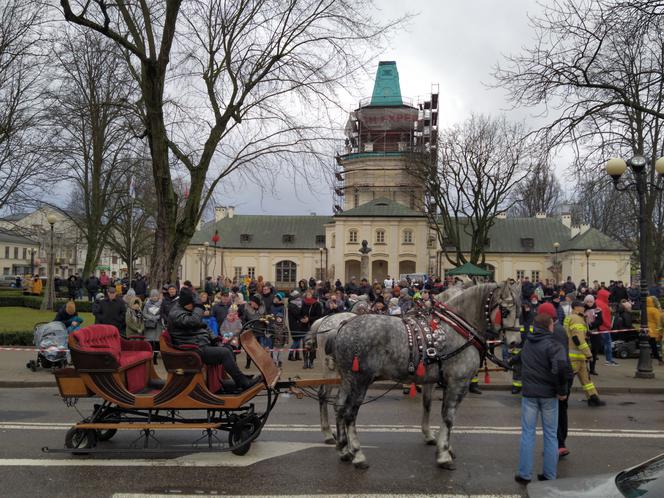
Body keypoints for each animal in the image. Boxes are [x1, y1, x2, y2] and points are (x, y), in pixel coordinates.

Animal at [332, 282, 520, 468]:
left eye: (520, 311)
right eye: (505, 311)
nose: (515, 342)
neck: (457, 329)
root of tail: (344, 326)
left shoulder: (439, 380)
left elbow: (433, 408)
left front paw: (440, 444)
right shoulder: (458, 382)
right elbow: (449, 417)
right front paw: (444, 454)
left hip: (347, 379)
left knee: (340, 408)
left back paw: (344, 449)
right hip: (361, 380)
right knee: (349, 413)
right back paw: (358, 454)